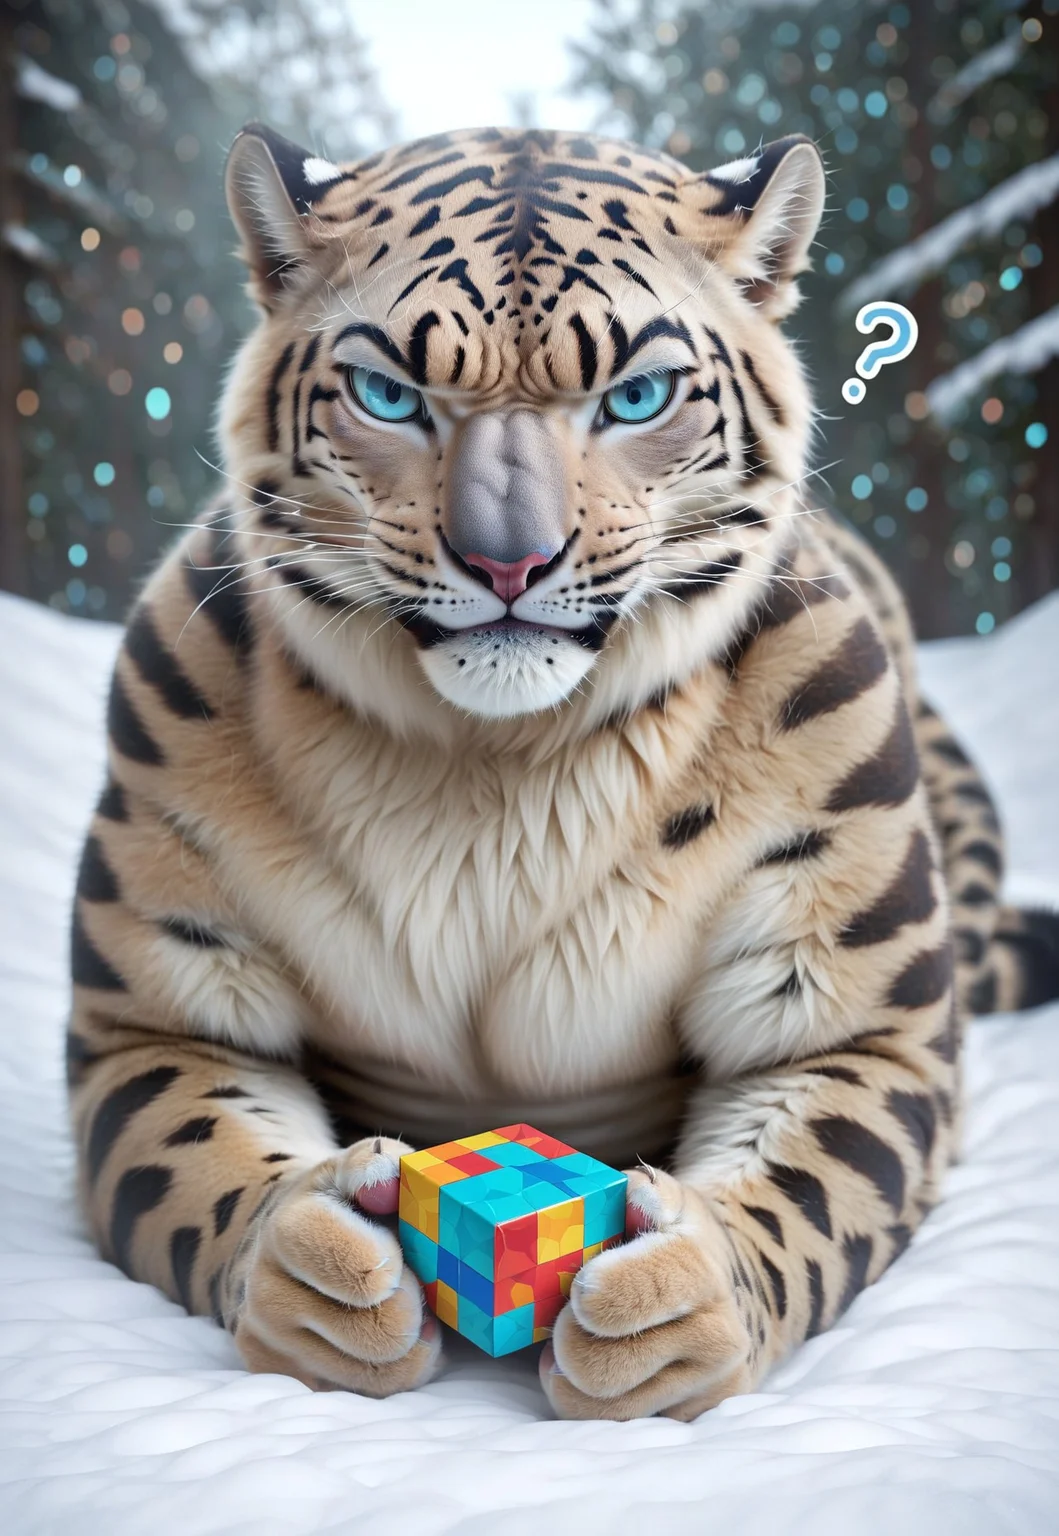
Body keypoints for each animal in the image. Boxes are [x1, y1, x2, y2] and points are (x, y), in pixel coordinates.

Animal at [67, 123, 1059, 1421]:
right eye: (390, 393)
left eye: (635, 395)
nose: (509, 564)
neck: (498, 774)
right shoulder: (158, 1009)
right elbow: (189, 1143)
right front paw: (316, 1268)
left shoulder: (845, 1013)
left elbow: (817, 1175)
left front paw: (678, 1301)